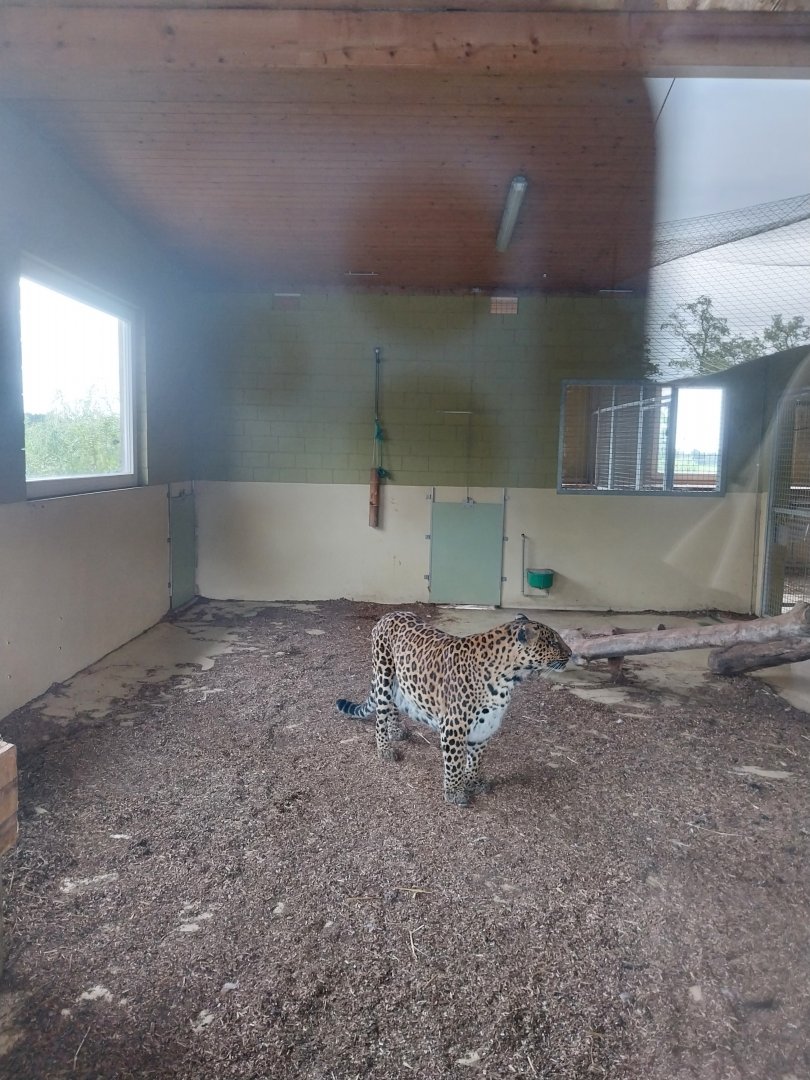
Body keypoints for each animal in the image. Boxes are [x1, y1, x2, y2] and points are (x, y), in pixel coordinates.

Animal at [336, 610, 572, 806]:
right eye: (552, 642)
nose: (570, 653)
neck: (510, 677)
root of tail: (388, 615)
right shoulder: (454, 725)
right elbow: (455, 761)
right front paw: (454, 792)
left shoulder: (485, 723)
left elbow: (476, 759)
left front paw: (472, 781)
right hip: (384, 675)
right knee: (380, 715)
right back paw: (384, 748)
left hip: (401, 683)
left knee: (394, 705)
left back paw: (396, 731)